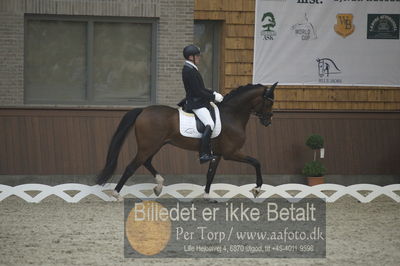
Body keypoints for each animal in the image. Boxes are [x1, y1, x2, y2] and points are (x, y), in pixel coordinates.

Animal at [97, 82, 278, 201]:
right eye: (269, 102)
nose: (268, 121)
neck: (231, 115)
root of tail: (143, 111)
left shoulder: (217, 154)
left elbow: (210, 174)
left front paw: (207, 196)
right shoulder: (231, 153)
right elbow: (256, 162)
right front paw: (257, 189)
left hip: (155, 145)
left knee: (146, 162)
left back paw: (159, 186)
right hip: (148, 146)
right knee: (131, 167)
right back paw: (117, 195)